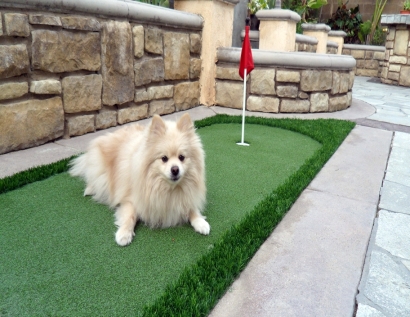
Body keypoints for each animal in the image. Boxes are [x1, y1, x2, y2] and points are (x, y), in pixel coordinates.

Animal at [69, 112, 210, 246]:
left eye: (181, 157)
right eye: (164, 158)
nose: (175, 169)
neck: (167, 189)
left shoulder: (186, 198)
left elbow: (192, 209)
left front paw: (200, 222)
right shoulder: (131, 199)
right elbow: (130, 216)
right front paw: (124, 234)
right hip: (100, 172)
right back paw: (90, 189)